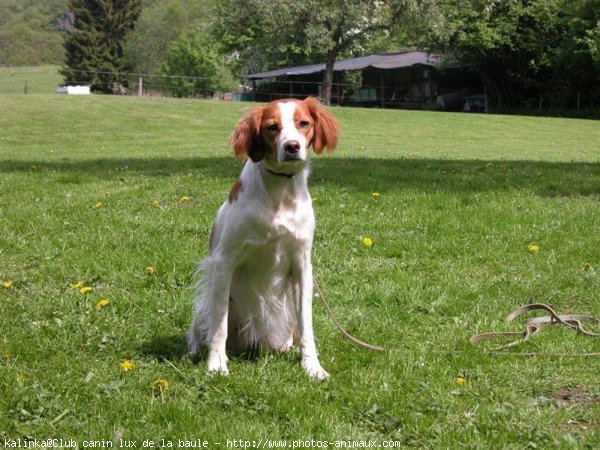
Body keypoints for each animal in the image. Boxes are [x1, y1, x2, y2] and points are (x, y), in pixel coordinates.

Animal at [188, 97, 338, 380]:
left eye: (304, 123)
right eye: (272, 127)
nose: (292, 146)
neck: (279, 194)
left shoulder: (302, 264)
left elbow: (306, 324)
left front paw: (312, 366)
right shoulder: (225, 261)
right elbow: (219, 325)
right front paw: (217, 364)